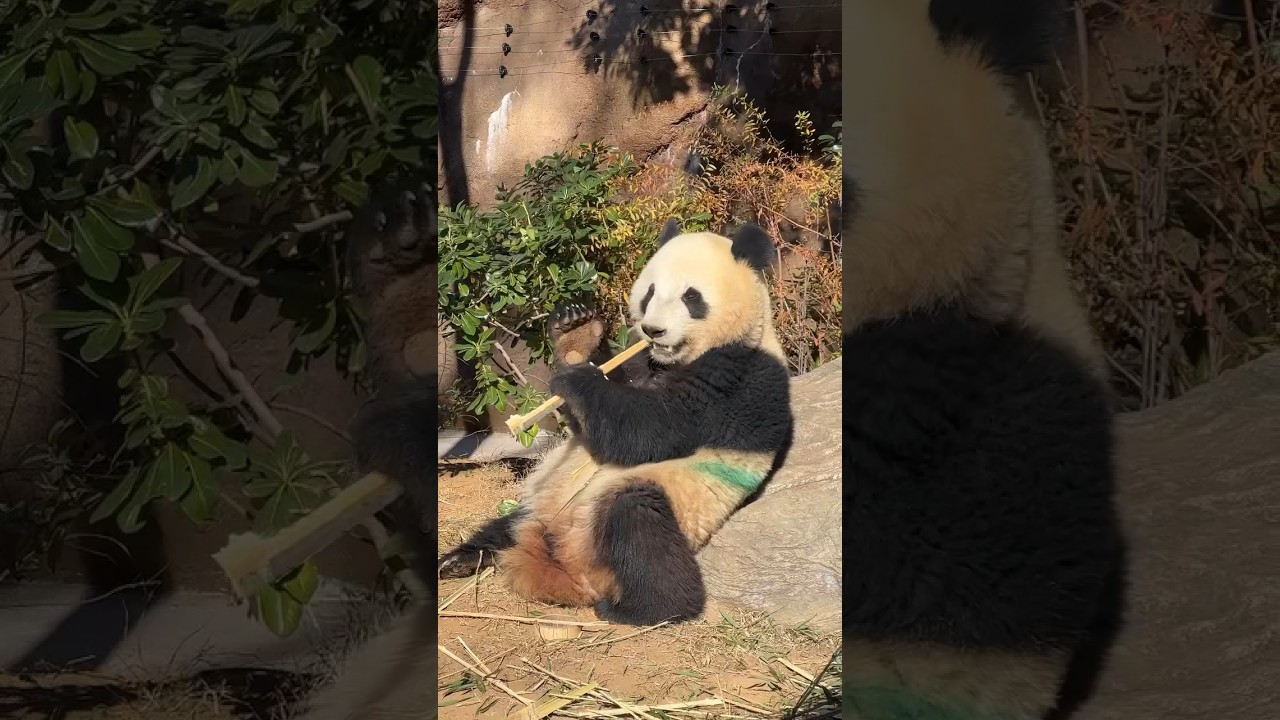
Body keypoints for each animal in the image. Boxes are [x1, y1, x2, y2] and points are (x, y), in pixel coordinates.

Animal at [435, 219, 794, 626]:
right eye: (650, 293)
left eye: (691, 297)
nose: (653, 331)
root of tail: (558, 556)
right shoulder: (643, 363)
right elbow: (598, 417)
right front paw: (575, 333)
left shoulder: (735, 377)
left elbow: (645, 430)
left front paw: (578, 377)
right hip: (544, 495)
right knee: (508, 522)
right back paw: (459, 559)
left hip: (659, 503)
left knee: (638, 526)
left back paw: (644, 608)